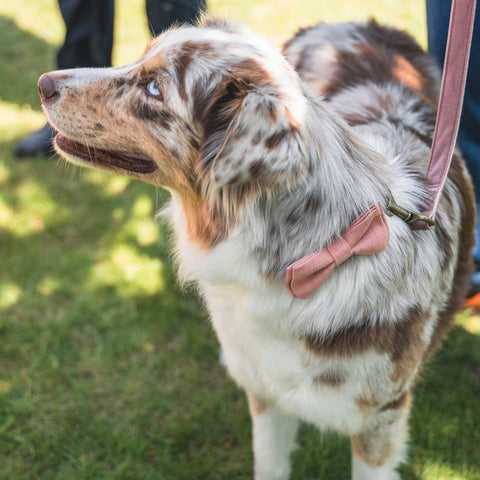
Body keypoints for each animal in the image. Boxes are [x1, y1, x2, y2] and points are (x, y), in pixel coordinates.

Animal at [37, 15, 472, 480]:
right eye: (140, 57)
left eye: (154, 88)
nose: (44, 83)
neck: (304, 259)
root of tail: (350, 20)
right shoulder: (265, 392)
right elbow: (269, 462)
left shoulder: (380, 421)